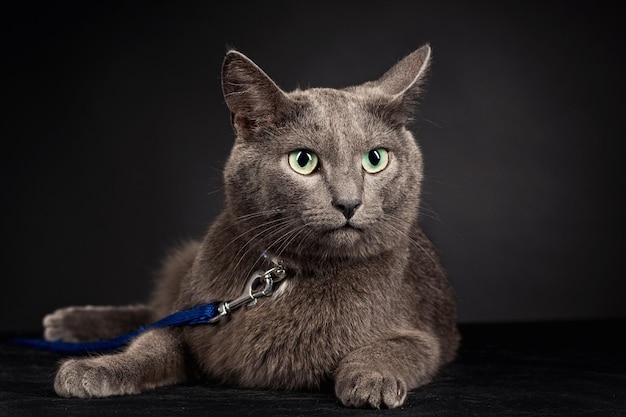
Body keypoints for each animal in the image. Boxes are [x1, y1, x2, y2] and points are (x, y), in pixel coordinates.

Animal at [40, 44, 458, 408]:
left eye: (375, 159)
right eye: (303, 161)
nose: (349, 203)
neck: (285, 275)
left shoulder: (427, 335)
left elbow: (393, 348)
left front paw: (372, 380)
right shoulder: (196, 319)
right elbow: (151, 343)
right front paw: (96, 369)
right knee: (153, 314)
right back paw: (67, 323)